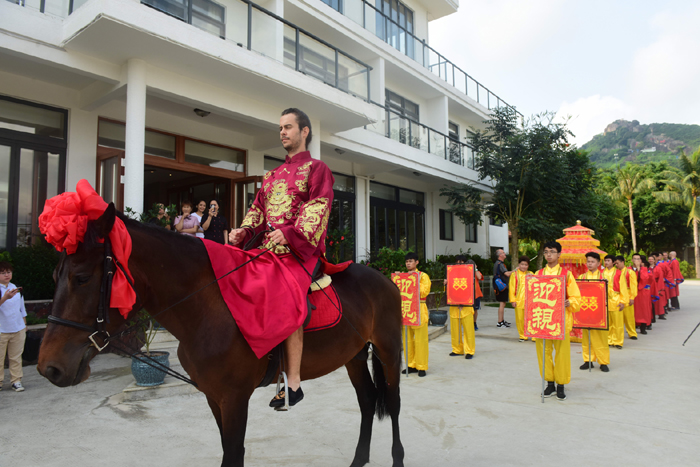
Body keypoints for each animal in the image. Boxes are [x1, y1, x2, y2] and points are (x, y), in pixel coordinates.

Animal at [35, 206, 404, 467]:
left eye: (82, 278)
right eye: (54, 275)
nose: (48, 368)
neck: (207, 305)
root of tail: (384, 278)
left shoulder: (235, 397)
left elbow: (234, 454)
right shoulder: (214, 396)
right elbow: (229, 450)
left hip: (388, 349)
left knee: (393, 402)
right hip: (353, 355)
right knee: (367, 400)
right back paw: (359, 459)